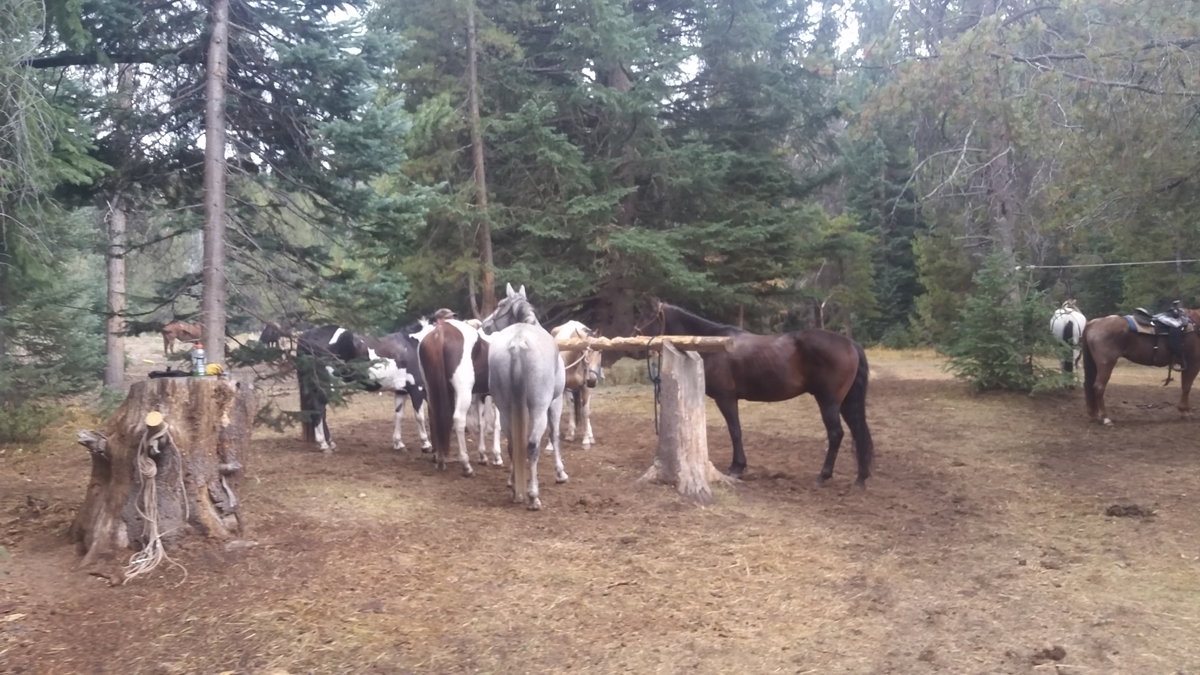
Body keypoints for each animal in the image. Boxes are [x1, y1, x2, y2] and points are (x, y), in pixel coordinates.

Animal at [296, 325, 428, 453]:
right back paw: (324, 445)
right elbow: (420, 417)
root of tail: (307, 334)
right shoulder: (417, 389)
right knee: (319, 411)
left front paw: (399, 444)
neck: (413, 345)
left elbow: (399, 416)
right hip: (325, 386)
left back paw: (331, 443)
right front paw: (426, 444)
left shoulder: (401, 391)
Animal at [480, 283, 568, 510]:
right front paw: (560, 473)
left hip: (505, 408)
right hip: (539, 408)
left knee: (513, 444)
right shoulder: (555, 402)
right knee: (532, 445)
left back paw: (515, 489)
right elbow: (554, 435)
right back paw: (533, 496)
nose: (484, 325)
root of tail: (518, 342)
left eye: (500, 304)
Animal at [548, 320, 603, 449]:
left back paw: (589, 434)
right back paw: (570, 433)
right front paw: (550, 444)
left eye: (600, 351)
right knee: (572, 407)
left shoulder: (585, 387)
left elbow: (585, 412)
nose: (592, 381)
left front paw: (586, 440)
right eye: (583, 351)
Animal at [634, 298, 874, 487]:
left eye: (646, 316)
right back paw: (860, 477)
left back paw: (823, 476)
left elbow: (735, 431)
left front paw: (737, 467)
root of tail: (850, 343)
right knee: (857, 432)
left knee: (836, 434)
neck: (712, 343)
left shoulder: (726, 398)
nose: (633, 344)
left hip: (828, 402)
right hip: (845, 403)